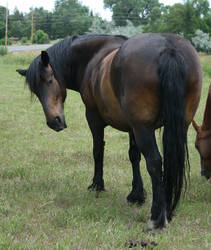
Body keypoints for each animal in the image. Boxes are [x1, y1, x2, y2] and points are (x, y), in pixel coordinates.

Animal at [16, 33, 201, 230]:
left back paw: (156, 218)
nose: (54, 121)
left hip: (143, 129)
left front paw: (97, 185)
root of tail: (168, 47)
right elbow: (134, 156)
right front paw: (136, 194)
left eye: (50, 80)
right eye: (36, 91)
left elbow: (98, 151)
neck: (93, 57)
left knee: (154, 163)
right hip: (177, 126)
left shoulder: (94, 118)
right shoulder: (131, 127)